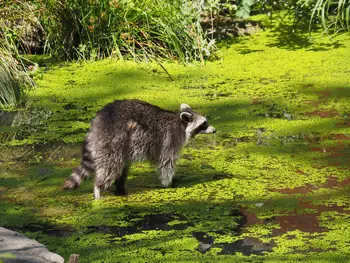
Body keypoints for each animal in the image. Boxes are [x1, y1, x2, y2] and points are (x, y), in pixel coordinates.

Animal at [63, 100, 216, 199]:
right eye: (204, 124)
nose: (214, 130)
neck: (180, 123)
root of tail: (97, 123)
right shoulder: (169, 140)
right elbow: (166, 164)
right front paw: (169, 184)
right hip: (112, 142)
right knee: (110, 167)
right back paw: (98, 189)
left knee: (122, 168)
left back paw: (120, 188)